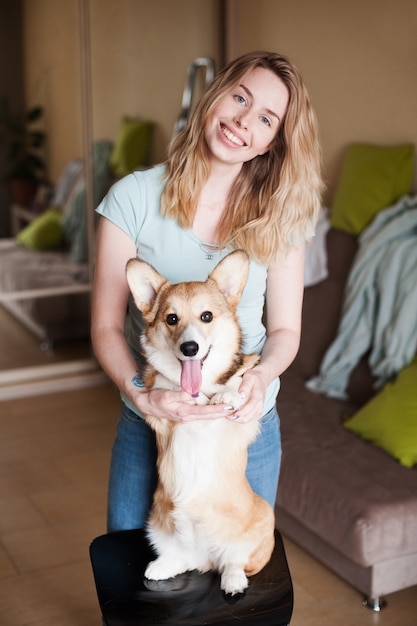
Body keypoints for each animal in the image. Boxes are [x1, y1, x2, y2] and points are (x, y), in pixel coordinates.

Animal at [125, 250, 274, 596]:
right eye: (171, 319)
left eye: (206, 316)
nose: (189, 348)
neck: (200, 385)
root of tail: (207, 555)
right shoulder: (158, 411)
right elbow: (164, 384)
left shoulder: (239, 417)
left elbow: (238, 380)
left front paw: (227, 394)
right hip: (157, 527)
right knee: (183, 559)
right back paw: (162, 566)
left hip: (264, 522)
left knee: (233, 561)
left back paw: (233, 580)